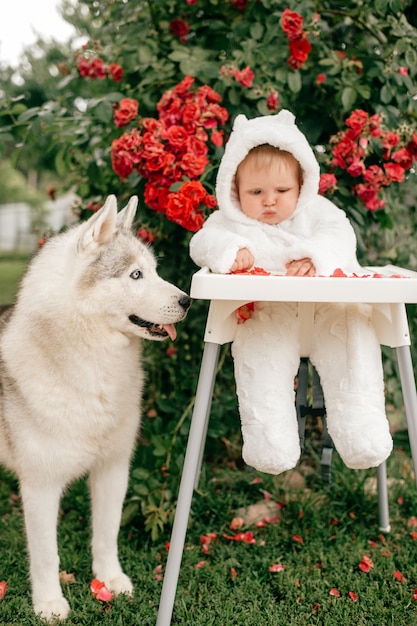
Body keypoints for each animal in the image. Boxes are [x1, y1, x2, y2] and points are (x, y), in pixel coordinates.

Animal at [0, 196, 190, 620]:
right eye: (135, 275)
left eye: (154, 270)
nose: (188, 301)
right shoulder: (40, 486)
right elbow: (46, 555)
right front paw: (49, 604)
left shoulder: (113, 469)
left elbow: (106, 535)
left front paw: (110, 580)